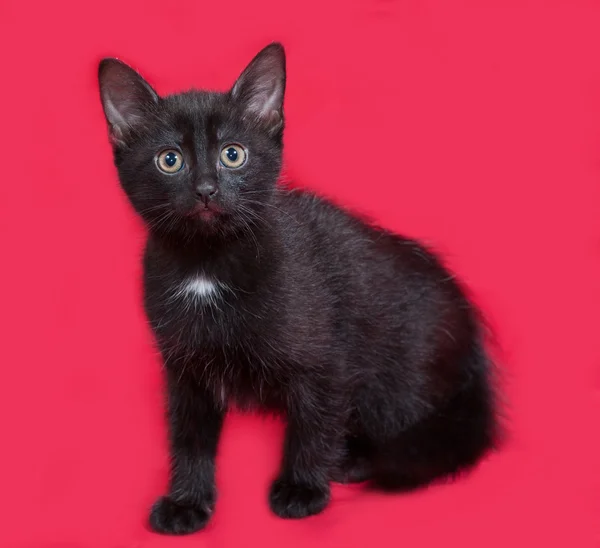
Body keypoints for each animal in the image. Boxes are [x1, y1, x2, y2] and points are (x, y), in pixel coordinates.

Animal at [98, 42, 496, 536]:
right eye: (169, 160)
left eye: (233, 155)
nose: (206, 189)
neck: (206, 266)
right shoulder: (185, 368)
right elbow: (189, 437)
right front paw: (187, 502)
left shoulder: (326, 361)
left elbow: (312, 424)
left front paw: (302, 489)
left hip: (399, 375)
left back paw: (352, 460)